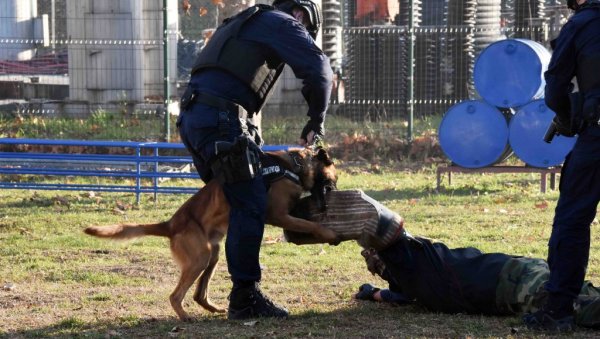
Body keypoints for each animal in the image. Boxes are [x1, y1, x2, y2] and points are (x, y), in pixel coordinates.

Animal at [85, 147, 340, 322]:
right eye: (334, 180)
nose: (333, 198)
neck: (295, 166)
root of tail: (170, 224)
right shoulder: (277, 215)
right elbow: (308, 224)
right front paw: (328, 232)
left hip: (213, 254)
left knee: (199, 293)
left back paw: (214, 309)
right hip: (199, 258)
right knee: (175, 295)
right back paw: (185, 316)